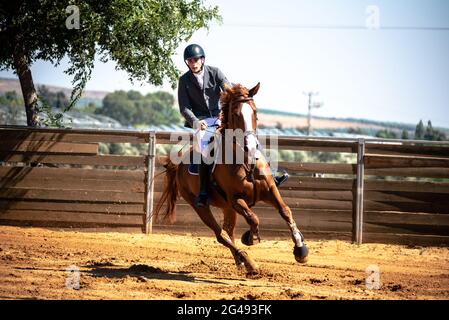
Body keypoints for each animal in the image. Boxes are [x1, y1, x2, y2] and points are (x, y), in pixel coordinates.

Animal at [154, 83, 308, 276]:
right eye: (235, 114)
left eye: (255, 112)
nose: (251, 146)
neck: (245, 161)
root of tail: (179, 164)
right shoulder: (236, 200)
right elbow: (253, 218)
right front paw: (250, 238)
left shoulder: (270, 191)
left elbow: (285, 211)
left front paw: (300, 249)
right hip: (201, 207)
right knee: (221, 234)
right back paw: (250, 263)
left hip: (227, 208)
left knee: (228, 231)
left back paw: (241, 261)